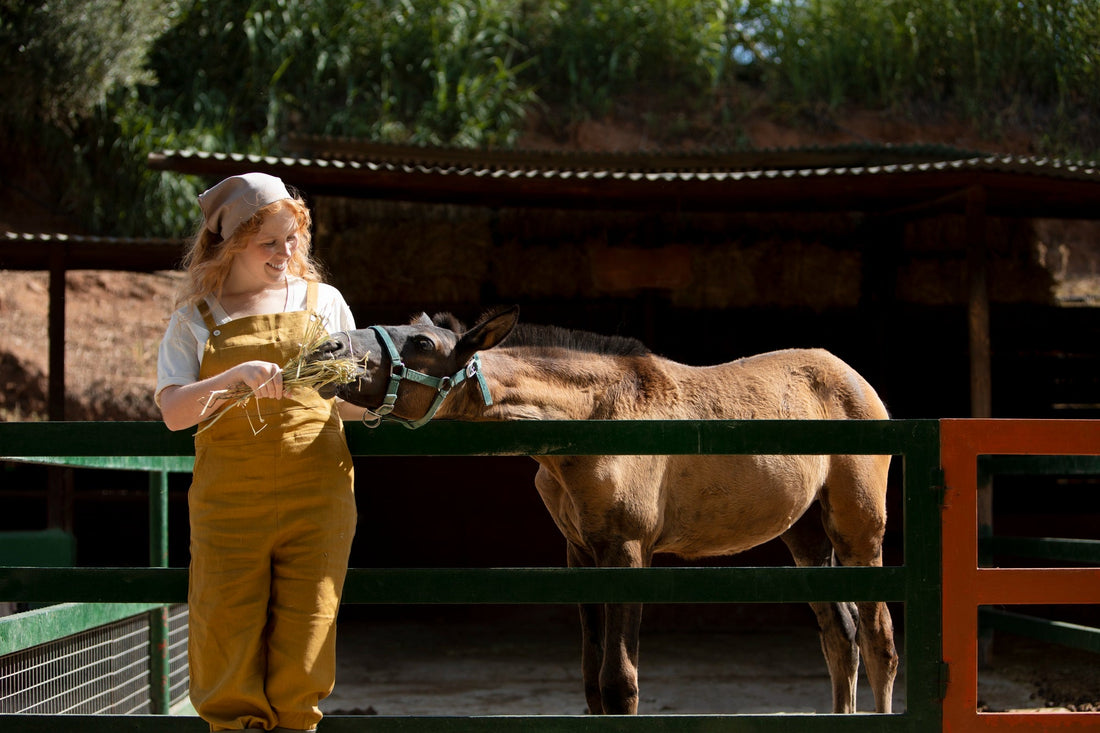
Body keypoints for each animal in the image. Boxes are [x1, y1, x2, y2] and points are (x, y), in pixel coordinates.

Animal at [315, 305, 898, 715]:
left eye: (421, 343)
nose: (330, 346)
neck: (592, 420)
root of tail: (857, 380)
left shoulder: (628, 550)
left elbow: (619, 684)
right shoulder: (582, 554)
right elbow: (593, 683)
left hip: (859, 531)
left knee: (879, 641)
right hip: (806, 534)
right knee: (840, 636)